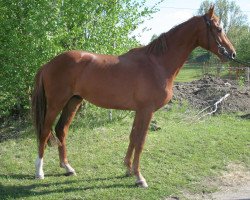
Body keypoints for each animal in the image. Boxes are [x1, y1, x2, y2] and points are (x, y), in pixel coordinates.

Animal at [32, 6, 235, 188]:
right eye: (218, 29)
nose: (232, 53)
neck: (157, 64)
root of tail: (48, 64)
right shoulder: (147, 110)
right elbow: (140, 141)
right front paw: (139, 177)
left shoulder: (139, 111)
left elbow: (132, 137)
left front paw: (128, 169)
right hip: (56, 103)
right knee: (44, 132)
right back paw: (39, 172)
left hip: (73, 102)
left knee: (61, 130)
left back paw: (67, 167)